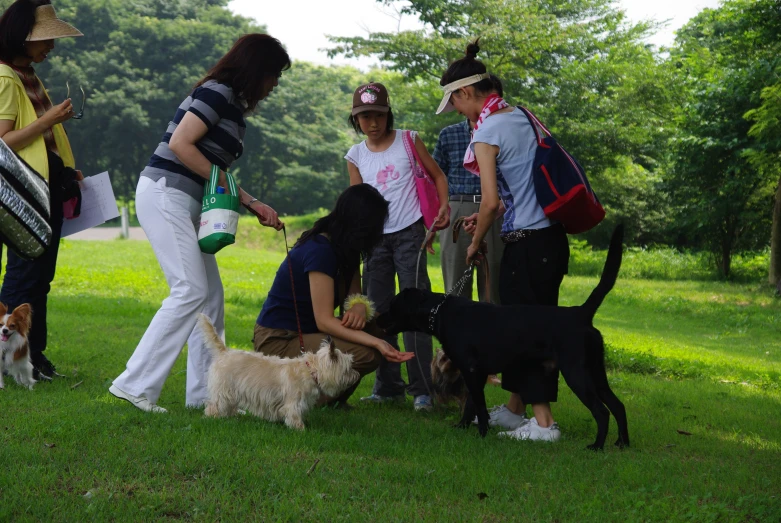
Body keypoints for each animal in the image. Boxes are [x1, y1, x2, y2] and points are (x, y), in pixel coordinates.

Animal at [376, 225, 628, 450]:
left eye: (393, 305)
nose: (377, 318)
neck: (439, 312)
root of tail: (580, 312)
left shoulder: (471, 371)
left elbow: (478, 405)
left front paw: (482, 433)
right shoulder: (475, 373)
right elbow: (471, 405)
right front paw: (463, 427)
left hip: (577, 373)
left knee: (602, 411)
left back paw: (597, 446)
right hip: (596, 373)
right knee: (618, 405)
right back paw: (622, 443)